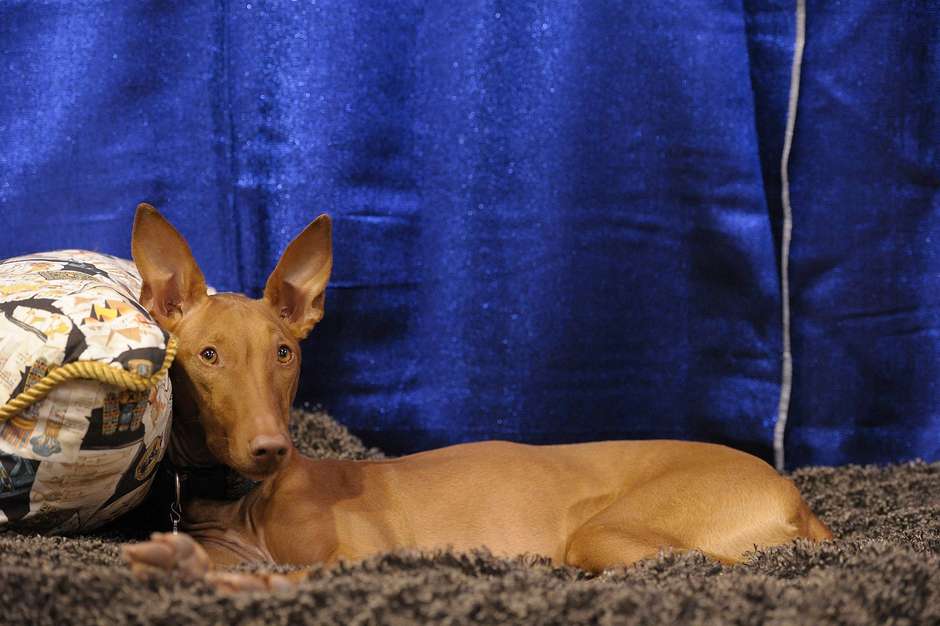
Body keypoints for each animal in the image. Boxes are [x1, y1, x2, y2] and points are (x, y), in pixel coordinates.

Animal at [123, 204, 828, 588]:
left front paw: (194, 570)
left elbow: (291, 572)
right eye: (209, 356)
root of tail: (789, 491)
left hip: (609, 535)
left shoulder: (369, 557)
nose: (271, 449)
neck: (247, 504)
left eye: (284, 353)